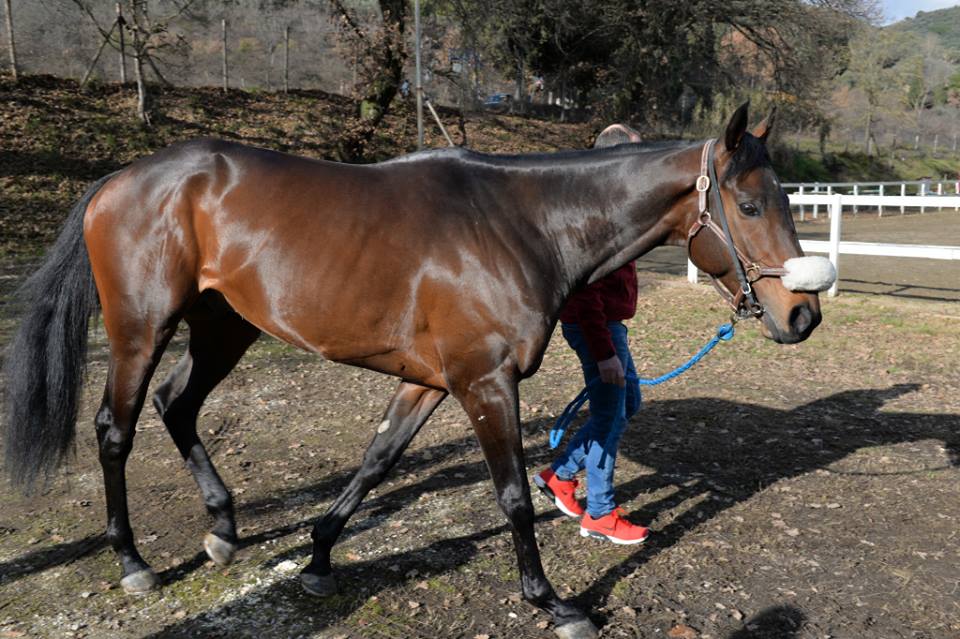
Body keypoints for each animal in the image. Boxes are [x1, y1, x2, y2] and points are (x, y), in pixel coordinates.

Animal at [2, 103, 828, 639]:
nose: (802, 316)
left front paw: (319, 554)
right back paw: (134, 560)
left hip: (223, 326)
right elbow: (512, 499)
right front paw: (552, 601)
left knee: (178, 405)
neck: (523, 224)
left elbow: (376, 460)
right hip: (140, 329)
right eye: (750, 204)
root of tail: (121, 178)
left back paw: (224, 529)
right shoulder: (484, 383)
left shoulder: (431, 381)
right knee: (116, 429)